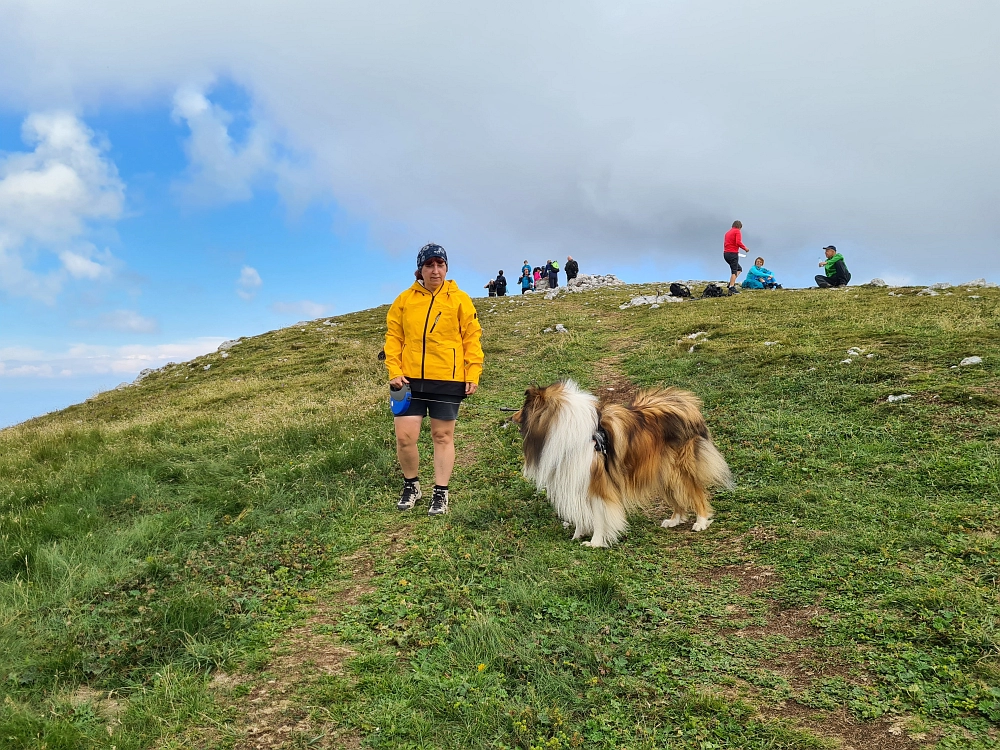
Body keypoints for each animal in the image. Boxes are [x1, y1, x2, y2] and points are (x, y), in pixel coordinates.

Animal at [512, 382, 732, 548]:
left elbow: (599, 516)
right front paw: (578, 535)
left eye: (523, 408)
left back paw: (701, 522)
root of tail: (683, 405)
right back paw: (674, 520)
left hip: (678, 469)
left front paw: (595, 542)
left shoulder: (598, 485)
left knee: (697, 492)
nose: (509, 417)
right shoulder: (577, 479)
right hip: (662, 472)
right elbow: (582, 514)